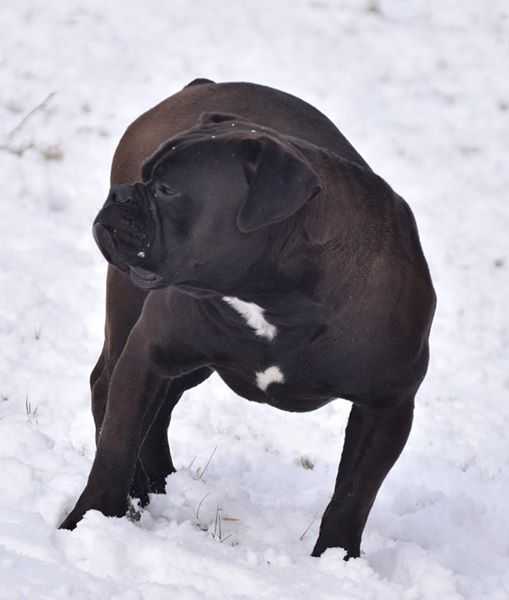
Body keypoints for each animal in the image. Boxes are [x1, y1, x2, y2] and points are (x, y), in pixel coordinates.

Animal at [58, 77, 432, 560]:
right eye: (145, 177)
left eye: (166, 190)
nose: (120, 193)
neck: (273, 293)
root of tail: (201, 85)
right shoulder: (148, 351)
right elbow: (117, 444)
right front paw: (87, 521)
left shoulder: (387, 407)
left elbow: (353, 496)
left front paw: (336, 559)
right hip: (131, 311)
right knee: (110, 391)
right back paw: (140, 491)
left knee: (157, 415)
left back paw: (157, 486)